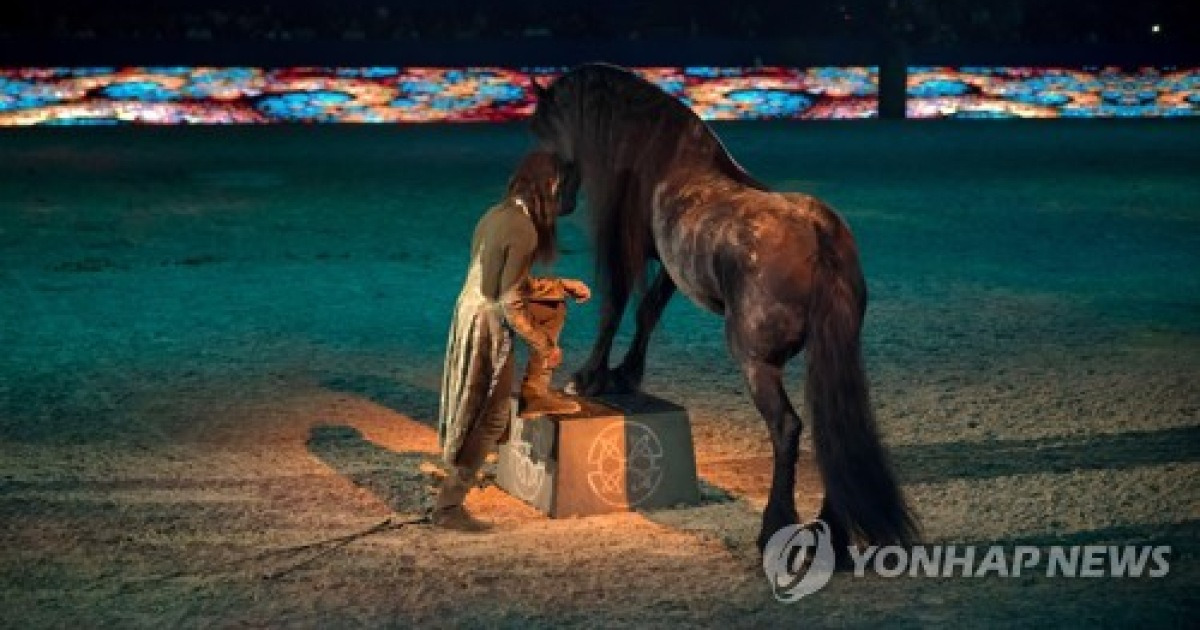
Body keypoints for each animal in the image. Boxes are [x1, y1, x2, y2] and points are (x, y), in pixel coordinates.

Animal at [530, 63, 912, 552]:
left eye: (549, 129)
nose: (555, 199)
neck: (667, 158)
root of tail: (818, 233)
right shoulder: (669, 266)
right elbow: (648, 311)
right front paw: (625, 375)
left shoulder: (626, 253)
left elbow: (614, 310)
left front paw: (590, 378)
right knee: (833, 432)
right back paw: (832, 535)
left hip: (756, 362)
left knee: (786, 428)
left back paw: (774, 527)